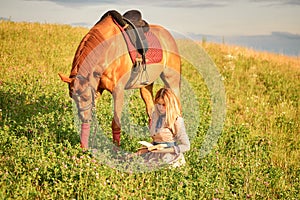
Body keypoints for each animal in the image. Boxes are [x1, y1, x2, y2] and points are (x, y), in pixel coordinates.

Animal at [58, 10, 180, 148]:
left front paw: (116, 150)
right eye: (72, 97)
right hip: (145, 86)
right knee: (151, 112)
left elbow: (116, 123)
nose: (84, 117)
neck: (108, 49)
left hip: (172, 81)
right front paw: (83, 148)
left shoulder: (118, 91)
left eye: (85, 97)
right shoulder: (97, 90)